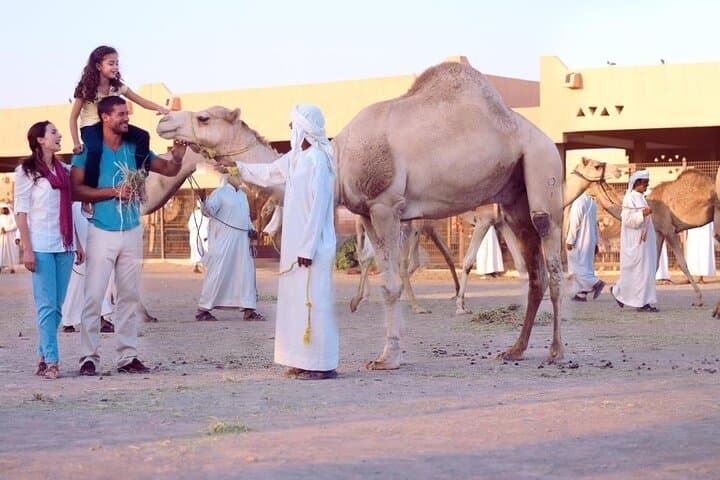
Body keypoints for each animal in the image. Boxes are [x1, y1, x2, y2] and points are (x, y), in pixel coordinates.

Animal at [155, 61, 566, 368]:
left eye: (204, 117)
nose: (163, 122)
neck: (338, 159)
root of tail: (541, 136)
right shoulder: (367, 212)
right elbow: (382, 273)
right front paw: (386, 347)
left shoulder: (386, 205)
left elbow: (391, 283)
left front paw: (387, 357)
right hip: (513, 199)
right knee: (534, 272)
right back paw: (515, 349)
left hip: (543, 170)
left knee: (553, 262)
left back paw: (555, 351)